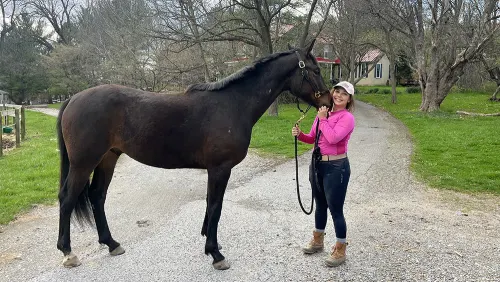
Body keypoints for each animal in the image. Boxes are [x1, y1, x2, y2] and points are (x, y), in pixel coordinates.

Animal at [55, 39, 332, 268]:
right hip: (83, 163)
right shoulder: (220, 168)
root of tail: (73, 99)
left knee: (97, 197)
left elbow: (211, 205)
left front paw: (211, 243)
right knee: (68, 199)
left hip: (108, 158)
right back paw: (68, 252)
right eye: (316, 71)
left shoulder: (215, 170)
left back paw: (112, 244)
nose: (328, 103)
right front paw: (216, 254)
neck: (233, 104)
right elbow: (216, 205)